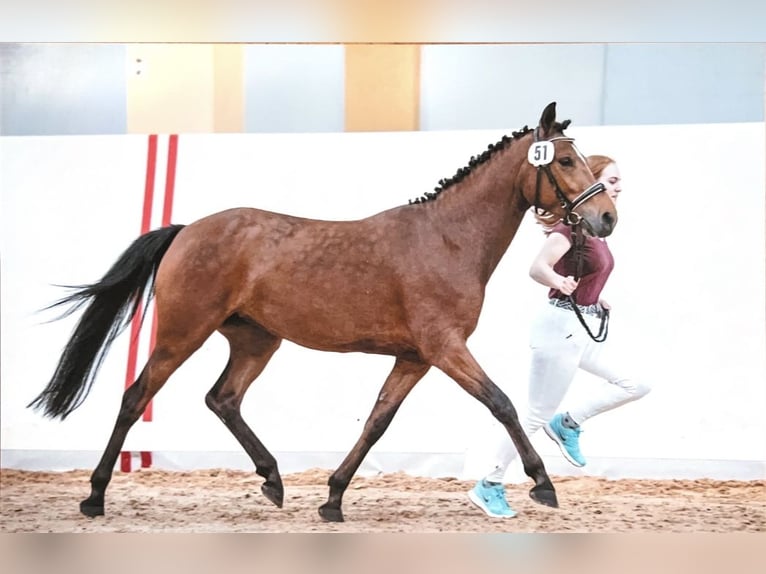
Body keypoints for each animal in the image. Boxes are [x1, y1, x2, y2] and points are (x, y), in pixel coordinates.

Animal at [28, 102, 616, 520]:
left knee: (223, 399)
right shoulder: (444, 347)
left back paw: (273, 479)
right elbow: (502, 404)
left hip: (256, 339)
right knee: (136, 398)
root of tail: (187, 229)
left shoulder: (415, 357)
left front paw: (332, 498)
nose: (606, 217)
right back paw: (95, 497)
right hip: (182, 332)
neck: (449, 239)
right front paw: (543, 484)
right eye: (566, 160)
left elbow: (378, 420)